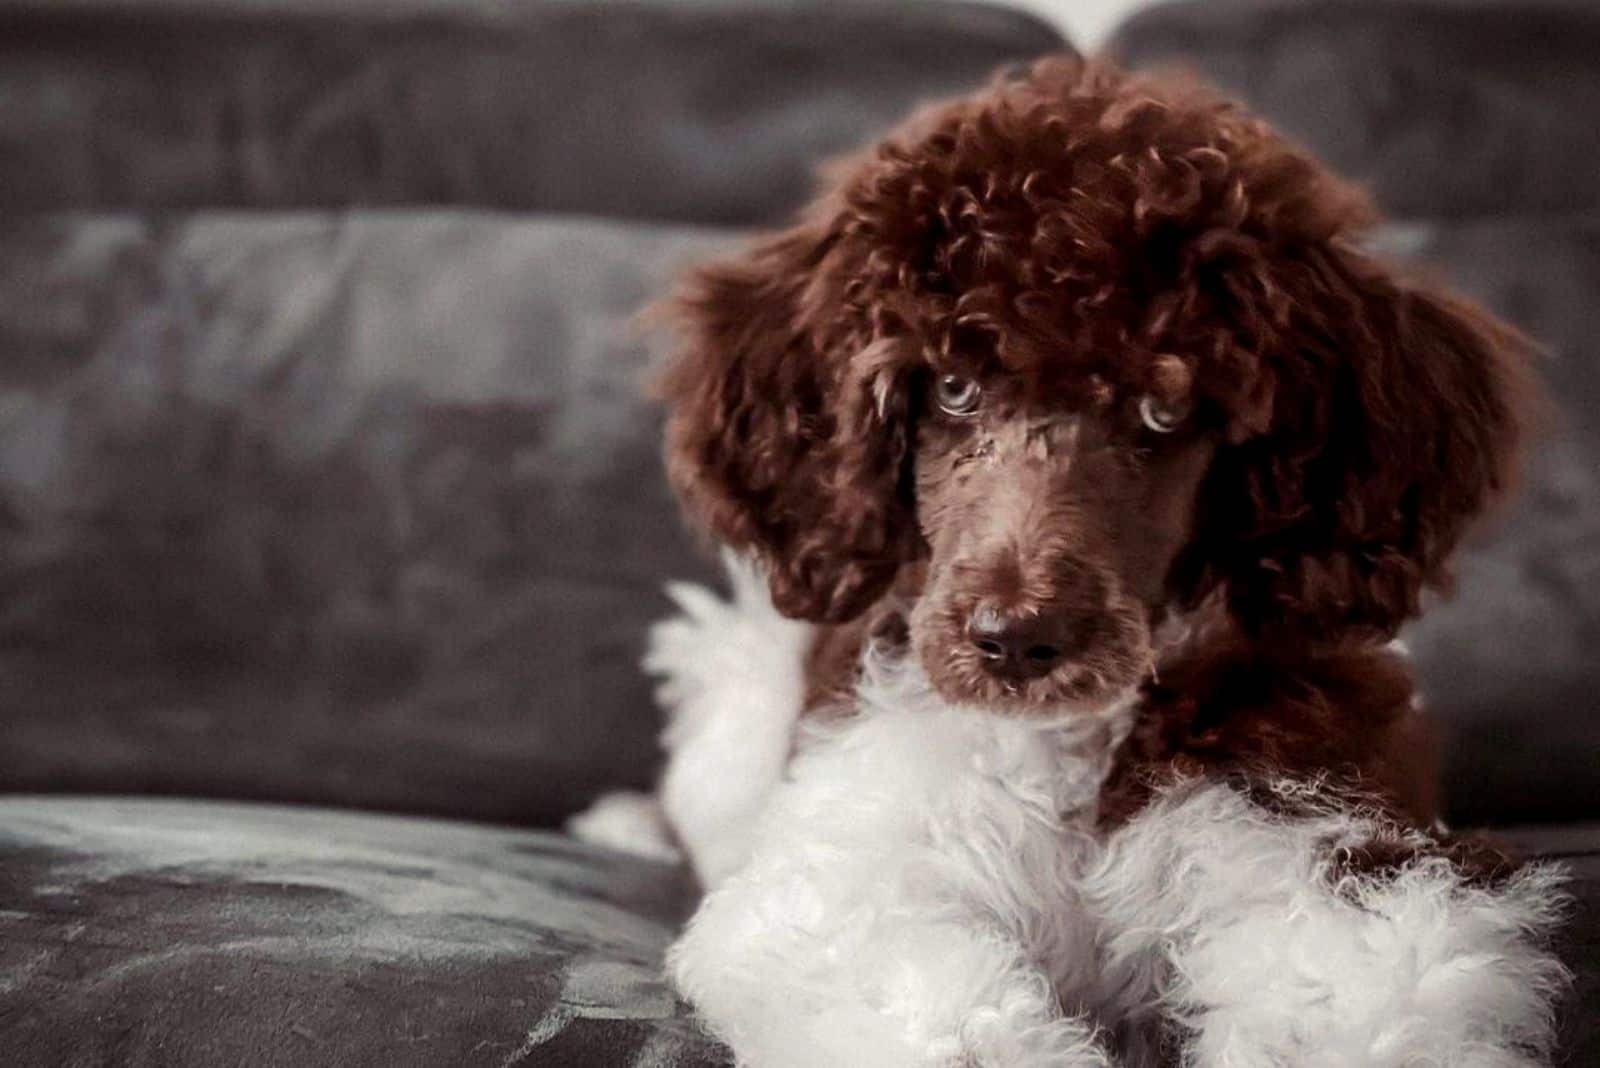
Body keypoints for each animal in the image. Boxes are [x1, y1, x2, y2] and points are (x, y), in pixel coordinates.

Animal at [569, 60, 1568, 1068]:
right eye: (953, 387)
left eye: (1166, 408)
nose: (1016, 641)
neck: (1078, 746)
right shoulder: (842, 880)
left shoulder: (1331, 855)